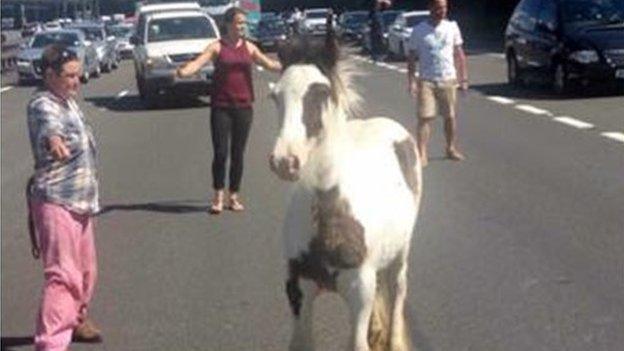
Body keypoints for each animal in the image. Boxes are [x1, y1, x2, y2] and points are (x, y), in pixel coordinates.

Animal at [268, 25, 424, 351]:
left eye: (322, 92)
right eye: (275, 96)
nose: (285, 161)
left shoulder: (359, 288)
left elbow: (358, 342)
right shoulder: (297, 285)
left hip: (401, 251)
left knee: (398, 288)